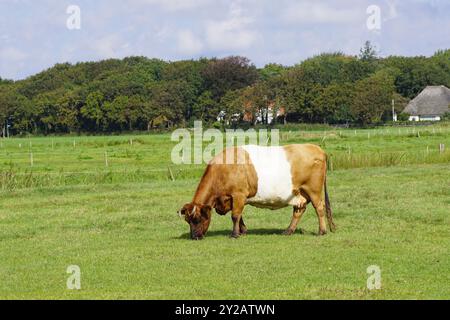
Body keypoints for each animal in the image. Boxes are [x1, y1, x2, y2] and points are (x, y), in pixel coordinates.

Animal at [178, 144, 336, 240]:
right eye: (187, 220)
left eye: (197, 219)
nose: (194, 237)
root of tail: (317, 148)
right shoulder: (234, 199)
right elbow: (239, 215)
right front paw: (243, 231)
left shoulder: (239, 194)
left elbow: (235, 215)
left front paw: (234, 234)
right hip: (299, 193)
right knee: (299, 210)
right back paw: (288, 231)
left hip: (313, 190)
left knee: (319, 208)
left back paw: (322, 231)